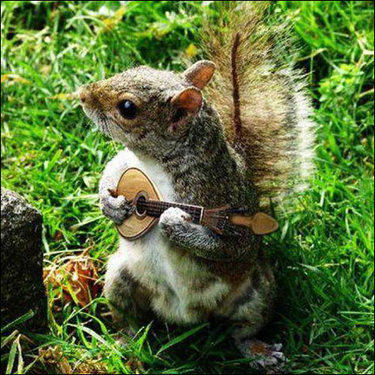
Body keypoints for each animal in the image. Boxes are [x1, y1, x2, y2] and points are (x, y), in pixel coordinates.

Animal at [78, 1, 314, 372]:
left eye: (127, 108)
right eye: (136, 67)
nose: (83, 95)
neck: (155, 163)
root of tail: (186, 317)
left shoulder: (220, 199)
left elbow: (229, 245)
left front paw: (173, 223)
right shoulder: (126, 163)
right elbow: (109, 173)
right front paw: (111, 205)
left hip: (258, 293)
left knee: (241, 331)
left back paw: (258, 351)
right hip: (119, 279)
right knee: (129, 317)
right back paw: (125, 342)